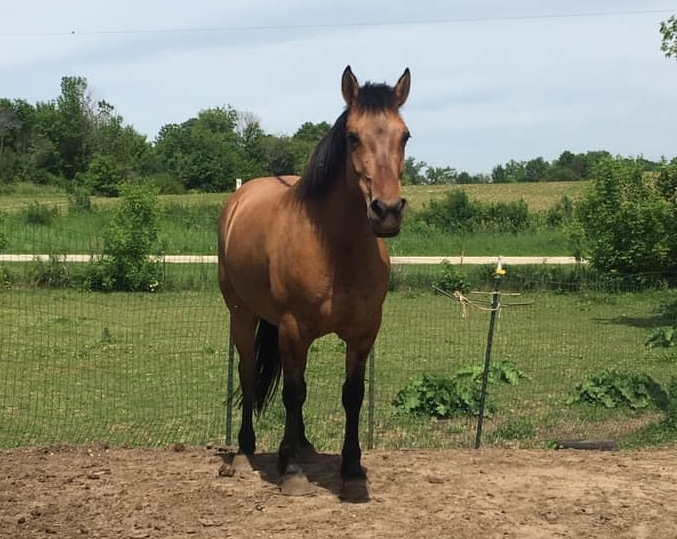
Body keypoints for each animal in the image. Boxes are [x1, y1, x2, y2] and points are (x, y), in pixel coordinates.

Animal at [217, 66, 410, 502]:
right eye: (352, 136)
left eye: (405, 135)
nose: (387, 211)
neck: (336, 249)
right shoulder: (293, 328)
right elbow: (293, 392)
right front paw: (292, 472)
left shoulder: (364, 332)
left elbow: (351, 395)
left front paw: (352, 470)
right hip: (241, 313)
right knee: (248, 374)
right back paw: (246, 452)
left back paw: (301, 444)